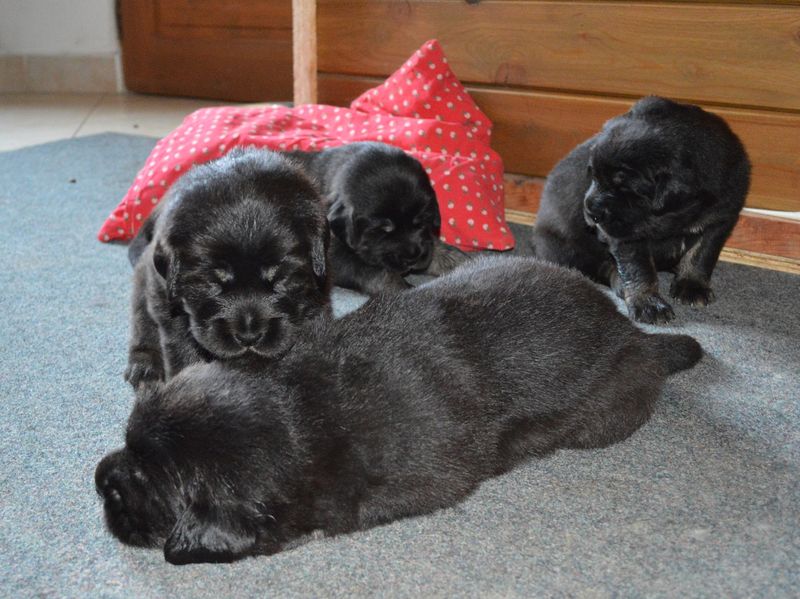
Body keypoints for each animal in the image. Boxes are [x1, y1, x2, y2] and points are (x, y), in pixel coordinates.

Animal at [97, 256, 702, 564]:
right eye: (128, 443)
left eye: (147, 486)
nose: (102, 478)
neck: (300, 409)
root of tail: (634, 334)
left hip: (606, 417)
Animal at [124, 147, 330, 389]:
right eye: (211, 282)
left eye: (281, 279)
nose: (249, 337)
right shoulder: (168, 305)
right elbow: (183, 350)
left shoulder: (317, 298)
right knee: (142, 321)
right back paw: (143, 363)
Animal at [289, 142, 468, 295]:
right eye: (383, 230)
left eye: (421, 221)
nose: (413, 257)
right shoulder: (333, 256)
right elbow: (378, 273)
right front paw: (403, 289)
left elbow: (436, 247)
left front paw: (461, 260)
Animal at [532, 96, 750, 324]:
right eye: (593, 176)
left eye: (625, 187)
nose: (591, 212)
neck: (677, 216)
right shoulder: (624, 234)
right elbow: (638, 268)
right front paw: (648, 303)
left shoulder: (721, 217)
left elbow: (702, 254)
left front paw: (692, 285)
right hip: (560, 248)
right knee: (599, 267)